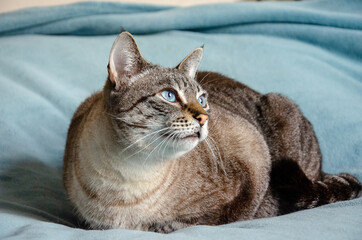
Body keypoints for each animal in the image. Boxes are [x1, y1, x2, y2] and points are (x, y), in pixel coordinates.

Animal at [63, 31, 362, 232]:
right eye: (169, 95)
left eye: (202, 99)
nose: (205, 117)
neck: (126, 173)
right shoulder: (87, 220)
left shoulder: (249, 173)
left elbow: (195, 222)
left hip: (280, 107)